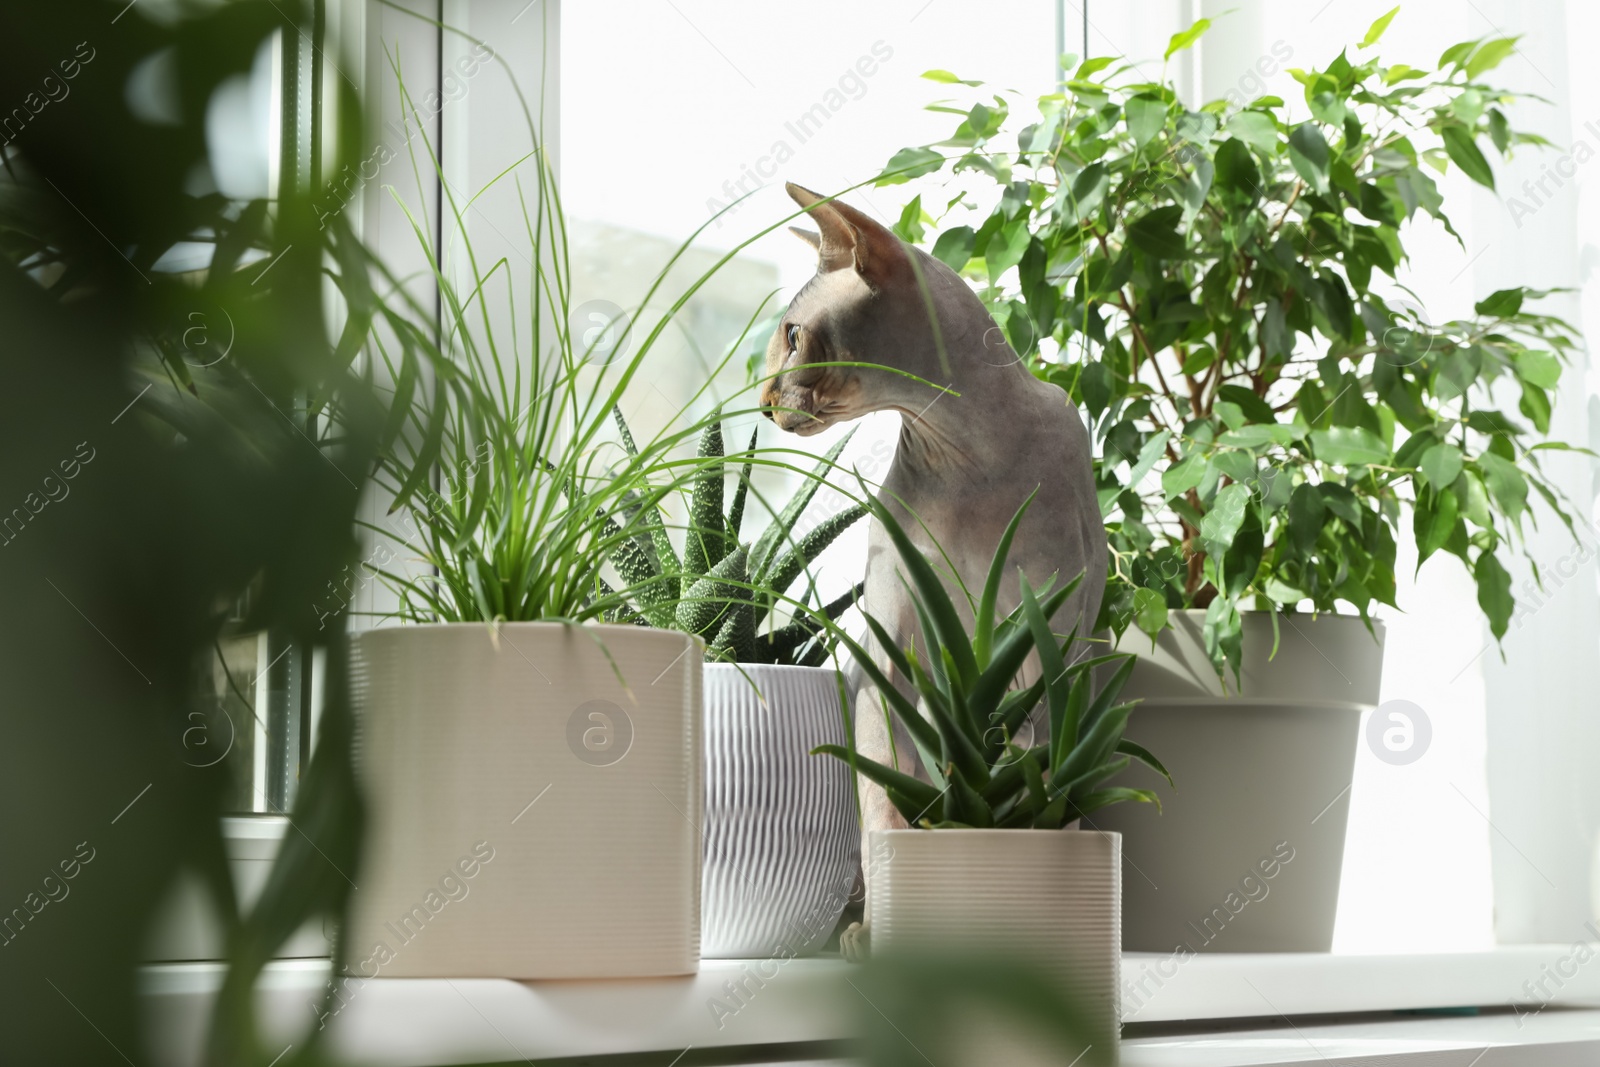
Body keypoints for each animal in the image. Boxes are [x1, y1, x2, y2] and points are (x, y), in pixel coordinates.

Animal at [758, 185, 1107, 959]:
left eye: (792, 337)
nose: (762, 405)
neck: (966, 455)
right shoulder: (890, 637)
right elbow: (883, 804)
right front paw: (888, 932)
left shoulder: (1046, 631)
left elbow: (1040, 786)